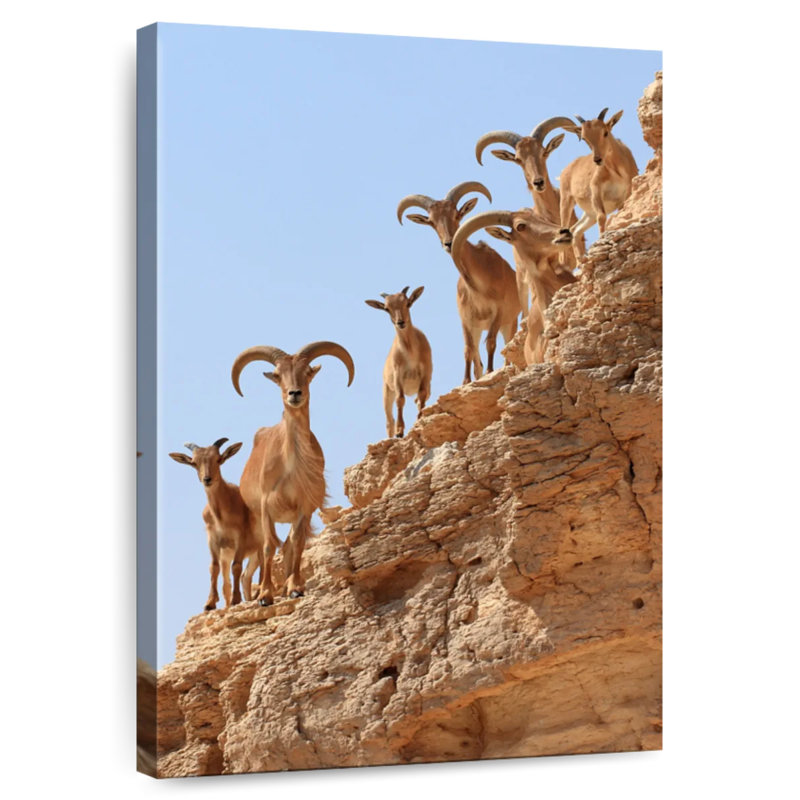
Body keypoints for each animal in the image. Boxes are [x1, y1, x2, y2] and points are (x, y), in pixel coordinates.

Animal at [168, 438, 261, 611]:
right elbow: (214, 568)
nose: (207, 479)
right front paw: (210, 603)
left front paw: (236, 600)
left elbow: (236, 566)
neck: (220, 516)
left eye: (218, 459)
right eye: (194, 463)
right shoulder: (213, 541)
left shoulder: (240, 538)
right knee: (242, 578)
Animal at [231, 341, 354, 604]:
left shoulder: (303, 507)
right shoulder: (267, 507)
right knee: (256, 559)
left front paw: (295, 587)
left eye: (307, 371)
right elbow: (269, 547)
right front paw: (265, 595)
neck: (291, 464)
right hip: (256, 518)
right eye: (278, 375)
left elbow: (297, 544)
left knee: (287, 547)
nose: (294, 394)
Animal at [365, 285, 433, 438]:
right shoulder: (398, 375)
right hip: (386, 392)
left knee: (420, 399)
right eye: (386, 308)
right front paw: (400, 431)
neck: (410, 351)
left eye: (407, 303)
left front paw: (419, 419)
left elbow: (422, 395)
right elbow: (400, 399)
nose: (400, 322)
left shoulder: (426, 373)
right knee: (389, 420)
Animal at [397, 181, 520, 384]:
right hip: (478, 328)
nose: (448, 243)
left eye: (457, 214)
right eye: (431, 221)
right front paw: (466, 381)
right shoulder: (466, 318)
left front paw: (490, 372)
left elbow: (491, 342)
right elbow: (468, 349)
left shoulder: (499, 312)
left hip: (511, 322)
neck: (478, 286)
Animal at [552, 108, 639, 260]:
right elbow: (602, 216)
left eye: (605, 132)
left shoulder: (627, 192)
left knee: (575, 229)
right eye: (584, 138)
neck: (616, 171)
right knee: (565, 229)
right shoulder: (596, 189)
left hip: (588, 214)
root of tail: (565, 170)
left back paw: (581, 260)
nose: (597, 159)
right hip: (566, 200)